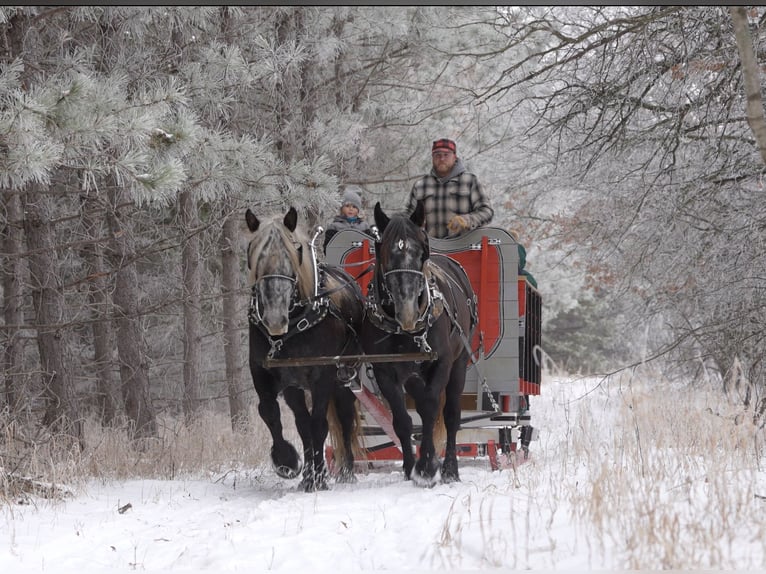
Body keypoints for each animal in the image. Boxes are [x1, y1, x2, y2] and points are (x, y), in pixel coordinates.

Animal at [246, 205, 366, 492]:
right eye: (252, 252)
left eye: (295, 251)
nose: (274, 319)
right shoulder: (263, 371)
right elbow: (270, 412)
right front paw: (288, 462)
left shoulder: (323, 374)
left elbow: (319, 424)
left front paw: (320, 478)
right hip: (295, 385)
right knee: (302, 423)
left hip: (345, 376)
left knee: (345, 416)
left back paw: (346, 472)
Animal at [362, 200, 480, 488]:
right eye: (385, 253)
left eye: (420, 253)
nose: (407, 311)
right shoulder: (385, 371)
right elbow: (402, 420)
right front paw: (409, 467)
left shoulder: (442, 362)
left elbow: (429, 408)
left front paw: (427, 466)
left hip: (459, 363)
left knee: (450, 414)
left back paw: (450, 469)